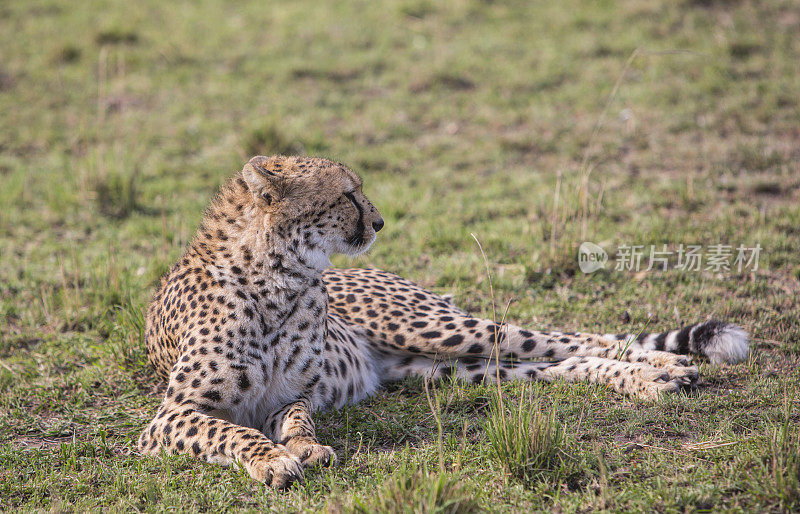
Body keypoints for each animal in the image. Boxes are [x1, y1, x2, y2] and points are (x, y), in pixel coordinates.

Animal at [139, 155, 752, 484]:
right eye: (347, 195)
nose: (380, 221)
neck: (280, 279)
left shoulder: (293, 393)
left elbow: (294, 419)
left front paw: (303, 448)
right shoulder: (170, 417)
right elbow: (233, 429)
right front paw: (276, 460)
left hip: (433, 328)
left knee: (570, 337)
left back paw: (663, 365)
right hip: (439, 368)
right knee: (558, 364)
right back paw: (656, 376)